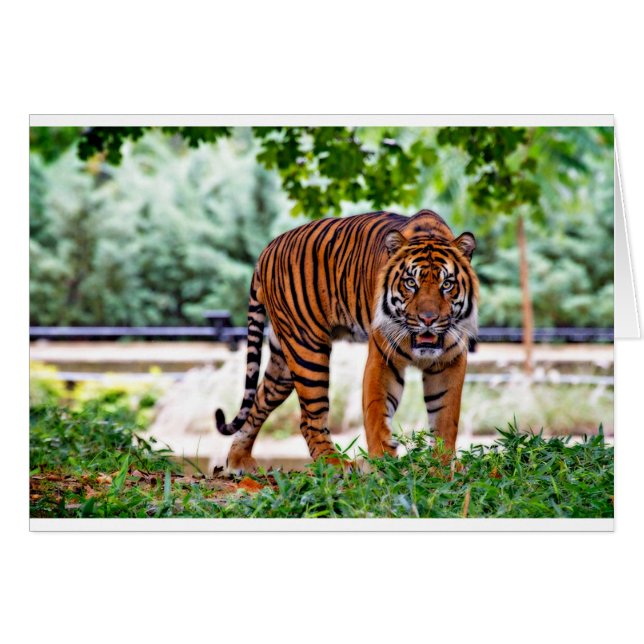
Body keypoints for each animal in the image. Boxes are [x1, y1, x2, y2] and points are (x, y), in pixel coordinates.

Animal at [215, 209, 479, 473]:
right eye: (410, 283)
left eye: (447, 284)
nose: (428, 319)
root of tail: (267, 248)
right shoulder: (383, 359)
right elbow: (377, 412)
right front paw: (383, 464)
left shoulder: (450, 361)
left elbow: (445, 417)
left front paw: (441, 466)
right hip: (307, 350)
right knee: (309, 419)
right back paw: (335, 464)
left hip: (283, 362)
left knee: (259, 401)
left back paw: (239, 460)